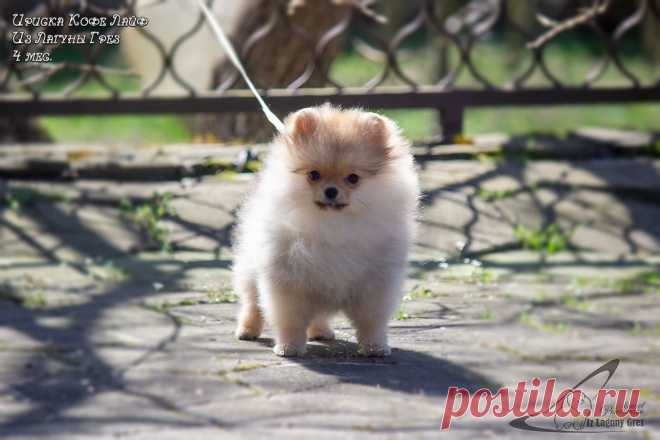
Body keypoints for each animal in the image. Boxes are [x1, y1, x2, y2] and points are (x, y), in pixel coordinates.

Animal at [232, 104, 418, 358]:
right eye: (314, 175)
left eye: (353, 178)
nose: (331, 190)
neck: (332, 225)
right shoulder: (288, 281)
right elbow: (289, 320)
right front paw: (289, 347)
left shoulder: (376, 282)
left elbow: (372, 321)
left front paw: (375, 347)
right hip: (251, 268)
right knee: (252, 303)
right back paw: (247, 330)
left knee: (317, 315)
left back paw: (320, 332)